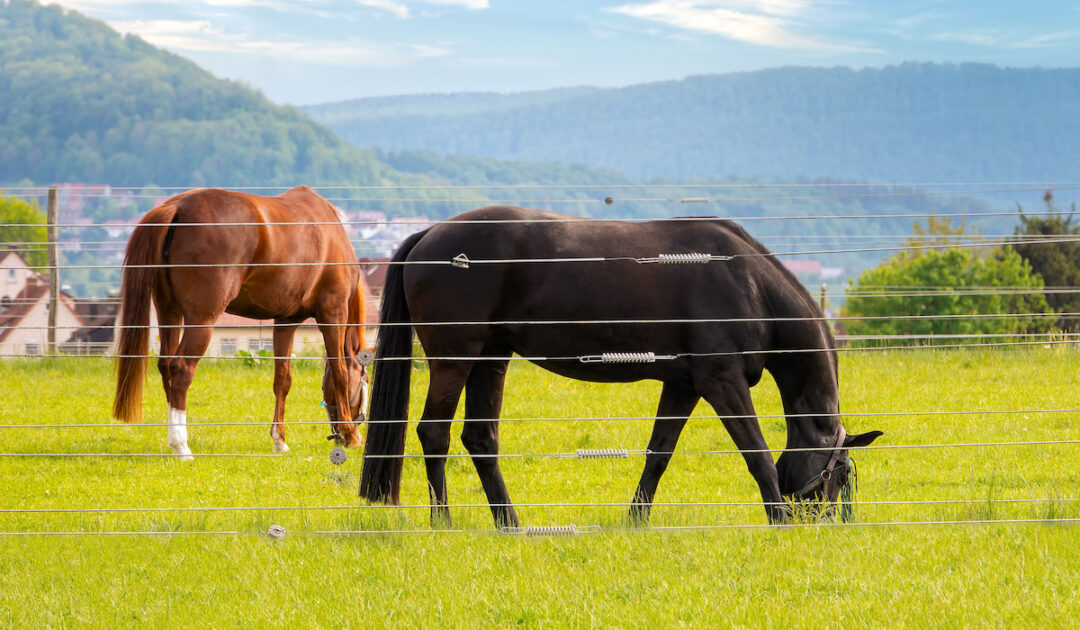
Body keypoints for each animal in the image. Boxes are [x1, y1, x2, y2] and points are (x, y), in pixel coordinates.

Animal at [112, 186, 370, 459]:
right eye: (365, 382)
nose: (343, 435)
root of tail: (177, 207)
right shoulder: (332, 314)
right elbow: (340, 372)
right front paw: (351, 435)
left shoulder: (286, 321)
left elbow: (283, 379)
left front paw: (279, 440)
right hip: (201, 321)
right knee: (180, 368)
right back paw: (181, 445)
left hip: (168, 313)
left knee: (165, 366)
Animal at [360, 206, 882, 527]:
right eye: (839, 475)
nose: (821, 521)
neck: (745, 281)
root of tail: (429, 234)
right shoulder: (722, 382)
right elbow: (756, 454)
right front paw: (776, 519)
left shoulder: (683, 384)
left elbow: (659, 454)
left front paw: (636, 519)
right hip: (455, 360)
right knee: (434, 434)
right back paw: (443, 520)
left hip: (491, 360)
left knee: (480, 440)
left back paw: (509, 523)